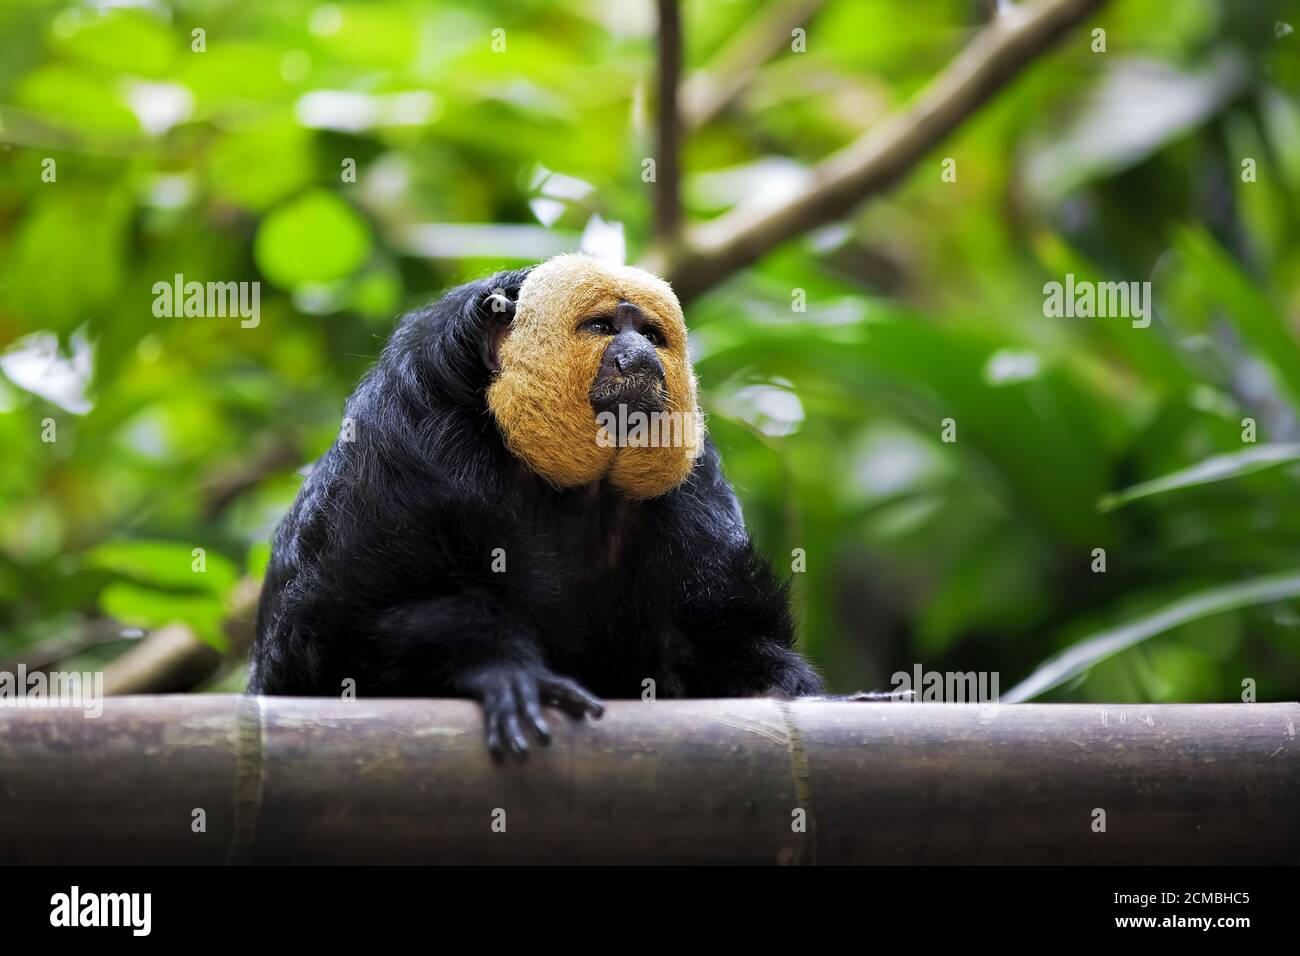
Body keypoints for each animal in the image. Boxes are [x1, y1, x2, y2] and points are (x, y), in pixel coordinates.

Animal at [250, 256, 842, 764]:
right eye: (603, 328)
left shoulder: (695, 480)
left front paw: (785, 692)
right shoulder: (410, 443)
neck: (570, 490)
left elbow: (720, 636)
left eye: (651, 335)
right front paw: (498, 664)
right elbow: (336, 636)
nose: (641, 358)